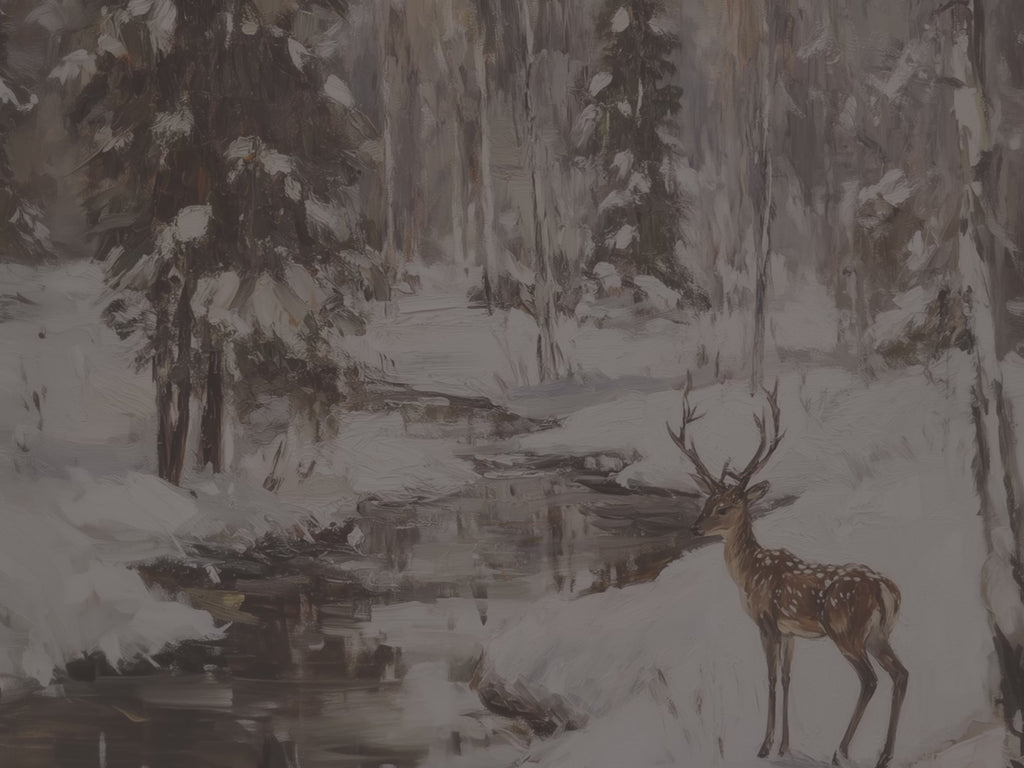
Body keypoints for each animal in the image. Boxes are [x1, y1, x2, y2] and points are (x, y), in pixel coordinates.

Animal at [666, 376, 907, 768]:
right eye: (706, 501)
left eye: (725, 507)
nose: (695, 528)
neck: (749, 574)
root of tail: (887, 589)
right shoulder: (790, 631)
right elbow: (788, 677)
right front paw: (784, 745)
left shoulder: (766, 621)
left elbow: (769, 678)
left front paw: (764, 746)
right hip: (879, 633)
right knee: (900, 673)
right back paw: (884, 754)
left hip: (847, 631)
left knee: (870, 680)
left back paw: (841, 750)